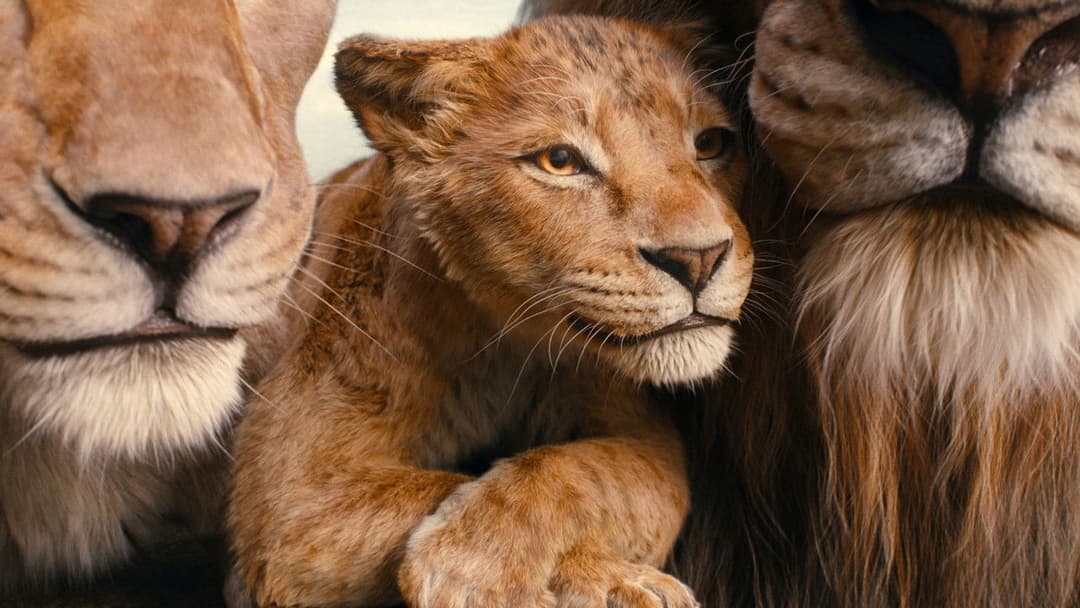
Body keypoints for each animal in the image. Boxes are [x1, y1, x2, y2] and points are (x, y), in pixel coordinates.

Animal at [226, 15, 753, 608]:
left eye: (710, 143)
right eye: (559, 161)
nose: (698, 259)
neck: (504, 344)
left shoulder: (644, 435)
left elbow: (593, 472)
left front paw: (479, 557)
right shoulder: (291, 488)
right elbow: (433, 486)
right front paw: (494, 570)